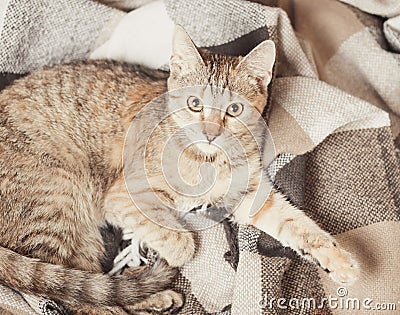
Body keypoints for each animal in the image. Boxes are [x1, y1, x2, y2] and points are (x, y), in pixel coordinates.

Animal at [0, 25, 358, 314]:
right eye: (194, 104)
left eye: (234, 109)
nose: (210, 133)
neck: (210, 160)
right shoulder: (123, 196)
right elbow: (182, 242)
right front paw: (174, 246)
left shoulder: (250, 195)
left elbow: (297, 224)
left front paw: (339, 261)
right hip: (61, 200)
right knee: (77, 294)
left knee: (90, 285)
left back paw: (153, 297)